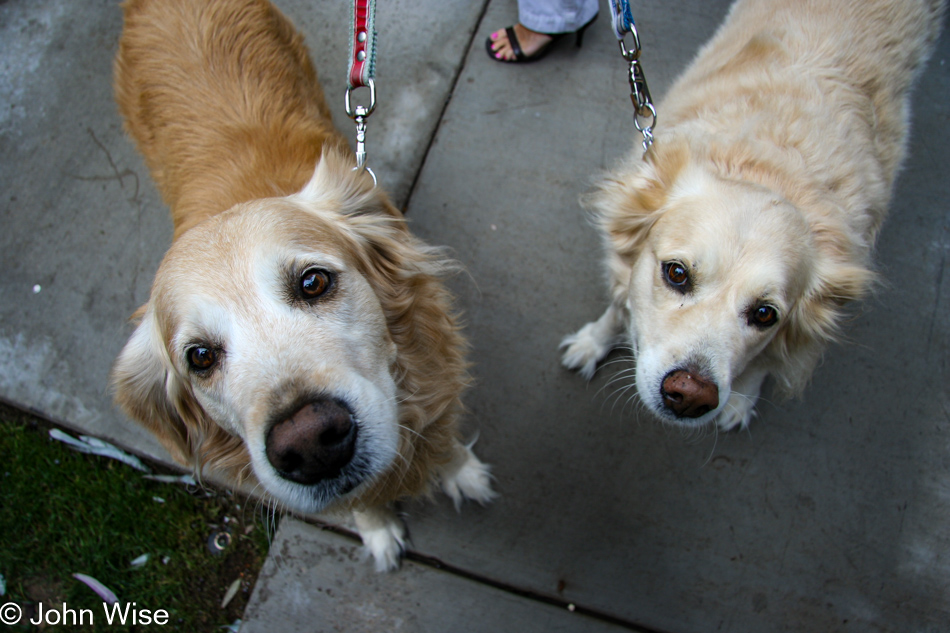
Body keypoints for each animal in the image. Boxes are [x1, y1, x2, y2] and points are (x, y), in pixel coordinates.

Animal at [112, 0, 498, 572]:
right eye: (199, 357)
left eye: (314, 281)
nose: (310, 443)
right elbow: (363, 501)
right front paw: (376, 526)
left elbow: (442, 435)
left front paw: (459, 470)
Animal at [564, 0, 944, 430]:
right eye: (676, 273)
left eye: (765, 314)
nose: (690, 396)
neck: (771, 168)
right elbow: (618, 305)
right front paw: (593, 341)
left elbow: (766, 360)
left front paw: (742, 399)